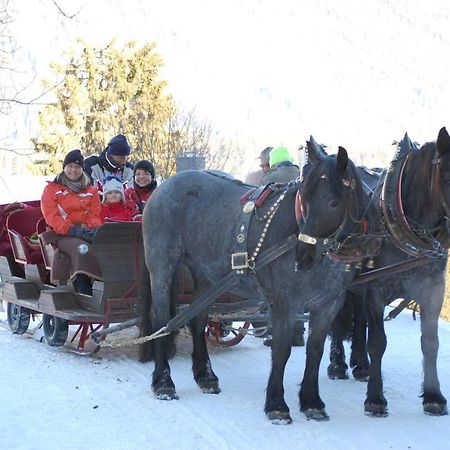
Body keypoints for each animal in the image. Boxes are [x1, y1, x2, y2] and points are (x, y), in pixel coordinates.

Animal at [138, 149, 366, 424]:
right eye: (304, 197)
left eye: (334, 202)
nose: (303, 256)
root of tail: (162, 187)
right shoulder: (284, 303)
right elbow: (281, 350)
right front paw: (277, 405)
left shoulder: (328, 305)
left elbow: (314, 351)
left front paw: (312, 402)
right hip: (162, 267)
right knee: (162, 319)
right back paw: (163, 383)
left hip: (204, 275)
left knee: (198, 321)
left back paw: (206, 376)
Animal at [296, 128, 450, 416]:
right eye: (447, 179)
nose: (304, 253)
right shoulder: (376, 290)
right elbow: (378, 342)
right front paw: (375, 398)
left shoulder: (433, 290)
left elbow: (430, 342)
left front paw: (433, 396)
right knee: (340, 324)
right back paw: (339, 364)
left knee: (358, 322)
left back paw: (360, 364)